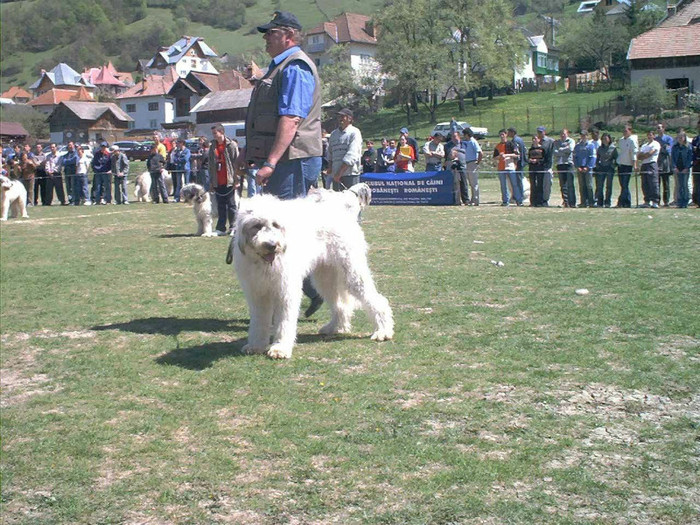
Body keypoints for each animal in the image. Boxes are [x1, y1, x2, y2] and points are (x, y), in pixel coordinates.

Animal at [231, 185, 392, 360]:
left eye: (275, 224)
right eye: (257, 225)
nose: (272, 245)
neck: (264, 263)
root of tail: (339, 205)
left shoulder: (286, 292)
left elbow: (284, 321)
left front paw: (280, 348)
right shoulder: (257, 293)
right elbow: (259, 321)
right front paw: (256, 345)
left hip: (352, 273)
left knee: (377, 301)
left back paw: (383, 331)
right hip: (325, 277)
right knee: (340, 305)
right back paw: (335, 328)